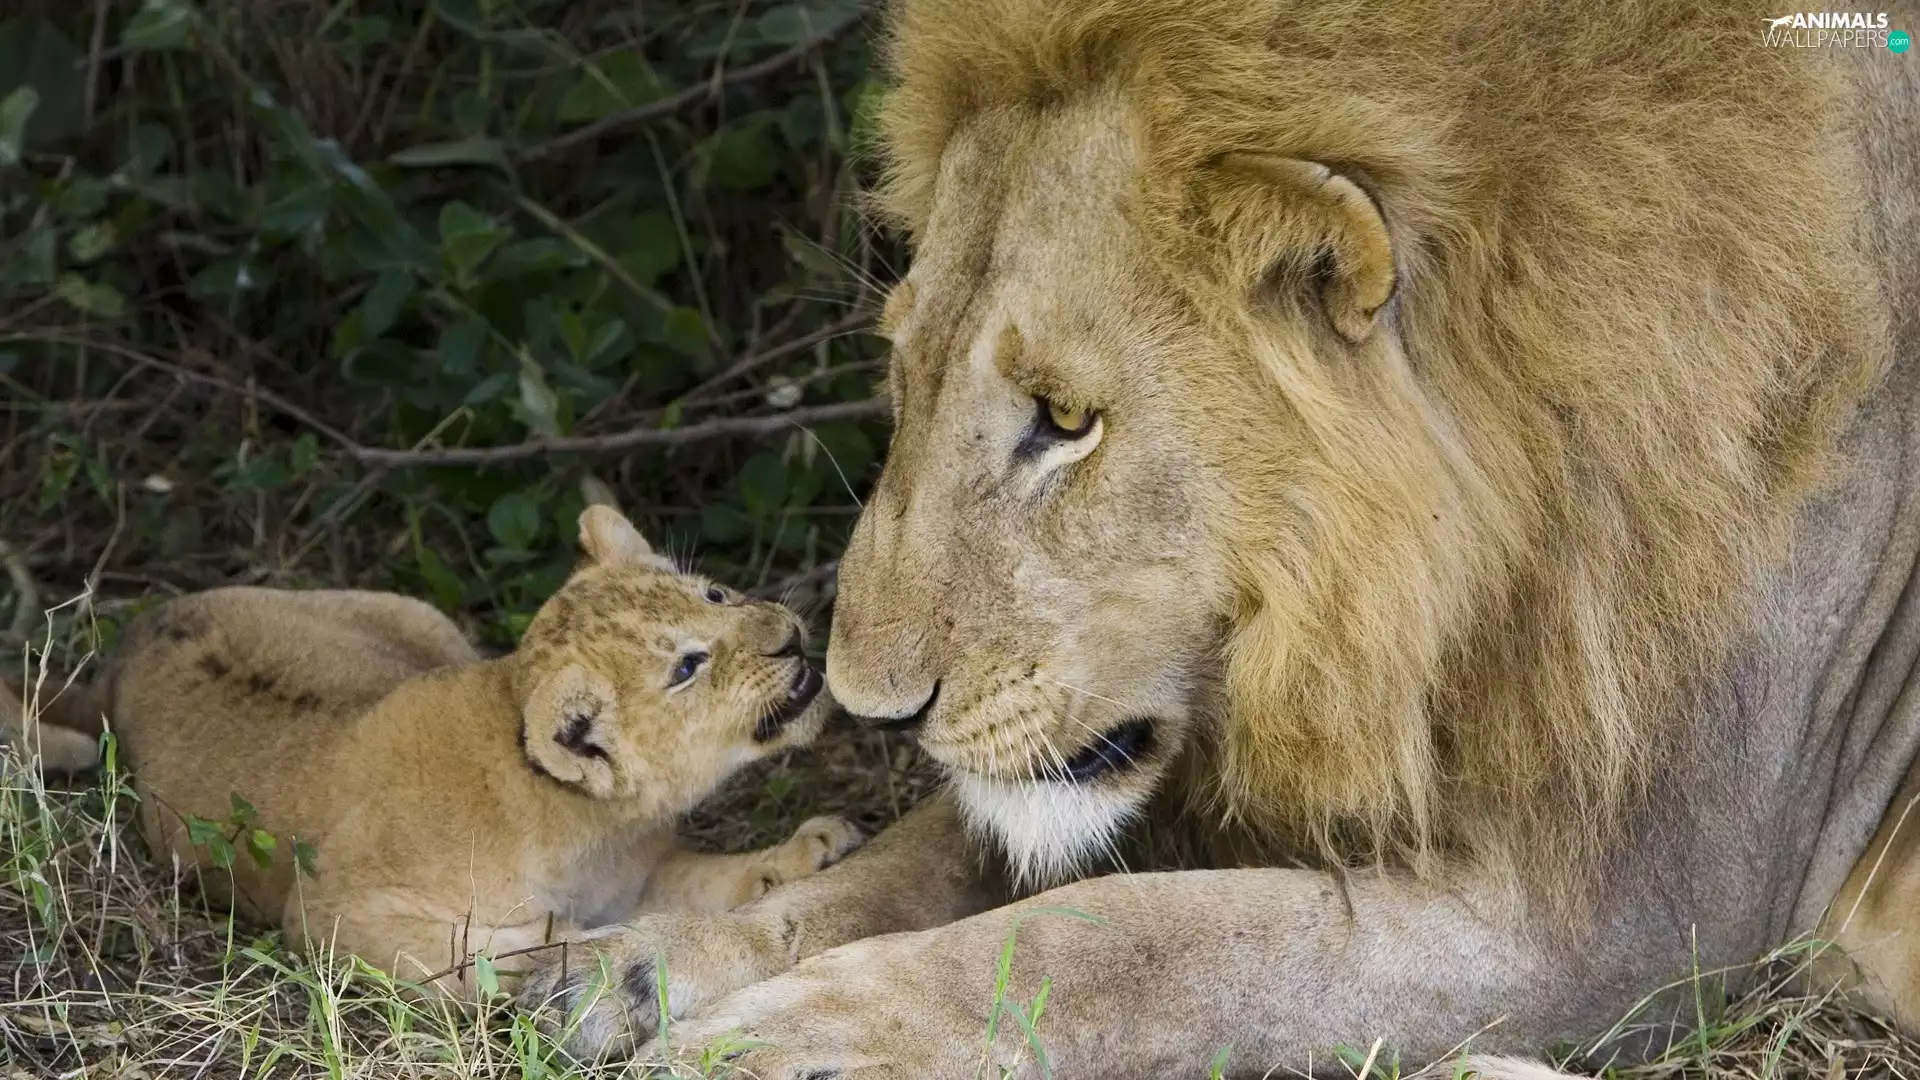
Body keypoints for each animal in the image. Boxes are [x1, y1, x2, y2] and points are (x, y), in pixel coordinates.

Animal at [40, 505, 861, 1001]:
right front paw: (577, 950)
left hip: (418, 617)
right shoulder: (330, 915)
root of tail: (132, 637)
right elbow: (482, 954)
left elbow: (710, 881)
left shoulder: (639, 874)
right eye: (687, 667)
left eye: (715, 595)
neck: (591, 829)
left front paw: (810, 851)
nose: (790, 635)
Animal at [516, 0, 1918, 1074]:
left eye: (1066, 420)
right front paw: (628, 971)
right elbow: (918, 860)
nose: (867, 706)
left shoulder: (1632, 916)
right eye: (902, 373)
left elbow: (1133, 945)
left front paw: (800, 1037)